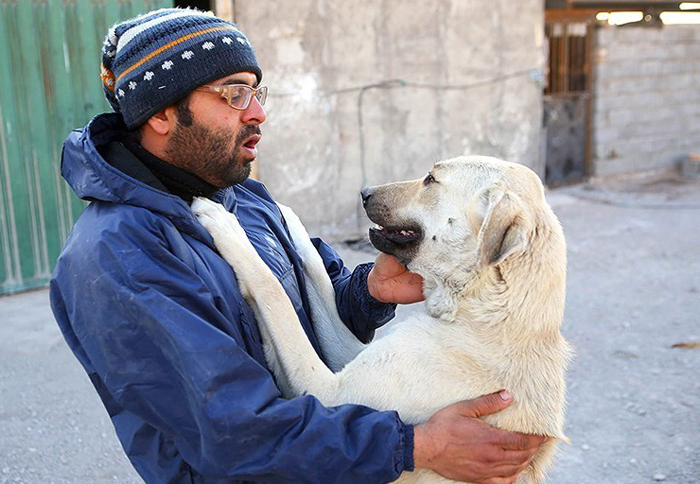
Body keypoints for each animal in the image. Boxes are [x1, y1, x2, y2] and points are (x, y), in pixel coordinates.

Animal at [190, 156, 568, 484]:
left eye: (431, 179)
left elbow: (274, 294)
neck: (484, 315)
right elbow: (316, 273)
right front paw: (287, 215)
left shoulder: (329, 394)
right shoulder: (349, 358)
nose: (364, 192)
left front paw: (226, 226)